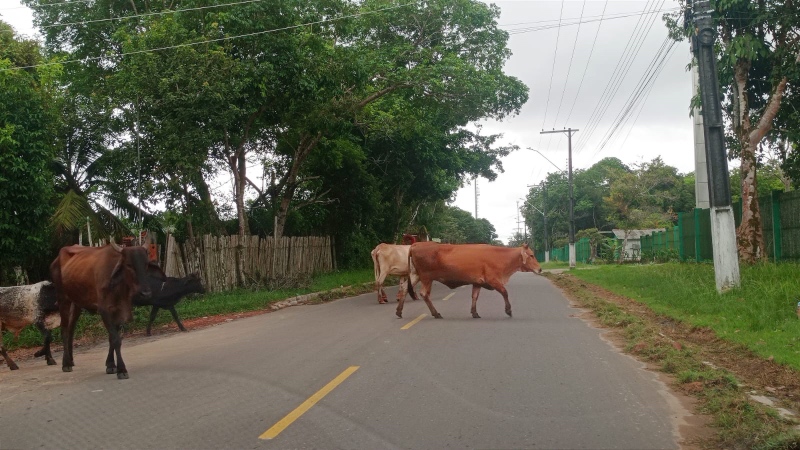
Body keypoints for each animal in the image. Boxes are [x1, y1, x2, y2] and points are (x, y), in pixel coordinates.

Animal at [49, 243, 153, 380]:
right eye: (129, 265)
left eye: (146, 264)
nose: (145, 293)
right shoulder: (104, 310)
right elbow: (116, 339)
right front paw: (121, 369)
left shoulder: (118, 311)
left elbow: (112, 338)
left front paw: (111, 365)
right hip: (63, 299)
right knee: (64, 329)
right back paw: (66, 363)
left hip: (77, 303)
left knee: (71, 328)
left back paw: (70, 360)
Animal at [400, 243, 544, 320]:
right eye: (531, 255)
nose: (540, 269)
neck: (501, 258)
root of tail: (416, 244)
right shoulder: (493, 280)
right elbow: (504, 292)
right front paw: (508, 310)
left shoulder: (477, 282)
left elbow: (475, 297)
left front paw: (474, 312)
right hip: (426, 278)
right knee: (424, 294)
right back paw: (436, 313)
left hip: (415, 276)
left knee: (404, 289)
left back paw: (399, 311)